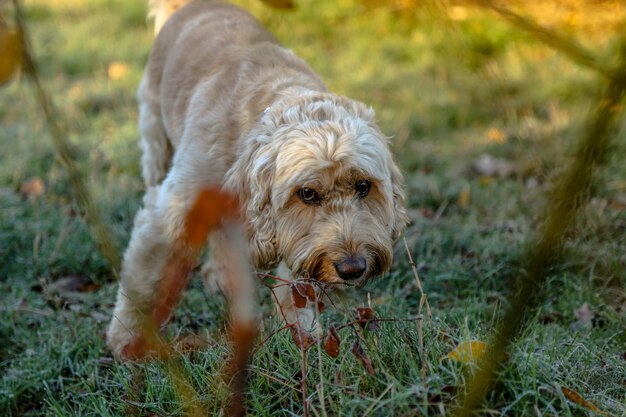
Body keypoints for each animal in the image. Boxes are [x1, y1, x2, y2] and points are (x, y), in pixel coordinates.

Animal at [106, 0, 410, 358]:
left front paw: (304, 339)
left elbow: (296, 290)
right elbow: (142, 277)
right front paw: (126, 340)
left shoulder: (298, 239)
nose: (353, 268)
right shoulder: (168, 213)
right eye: (307, 193)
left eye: (363, 187)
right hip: (156, 144)